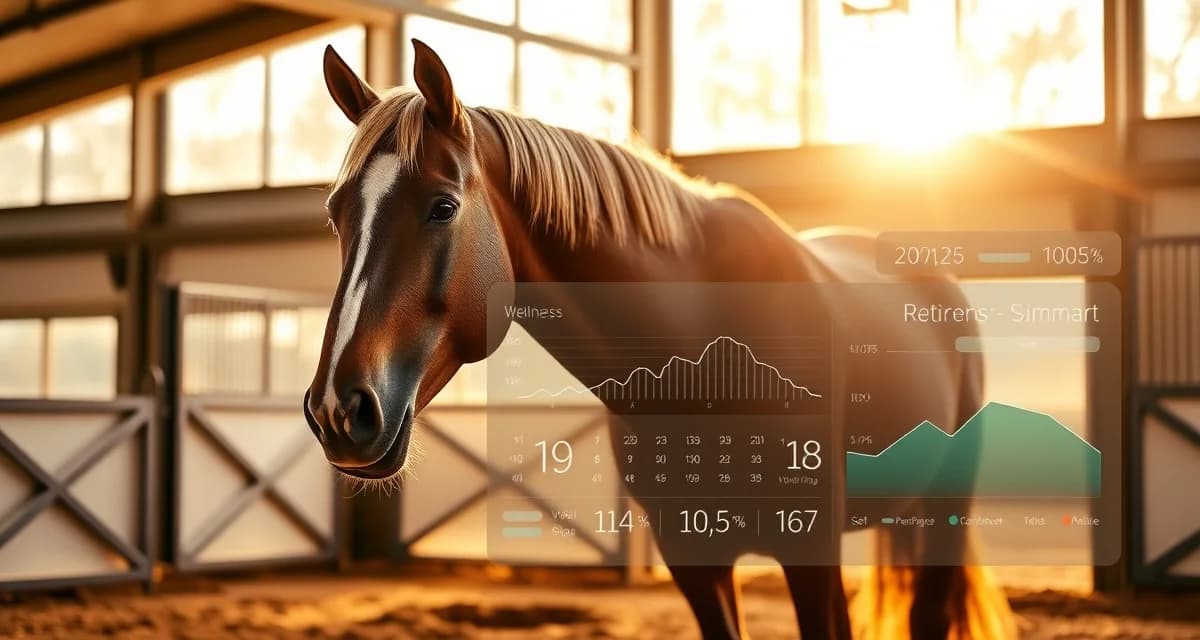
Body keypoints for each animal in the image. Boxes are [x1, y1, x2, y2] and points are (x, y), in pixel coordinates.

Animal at [303, 40, 1015, 639]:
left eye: (443, 206)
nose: (340, 409)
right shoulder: (693, 558)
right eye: (337, 213)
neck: (705, 351)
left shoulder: (811, 552)